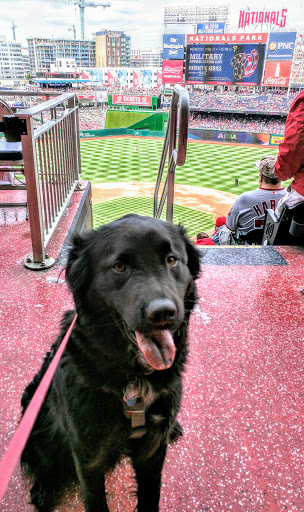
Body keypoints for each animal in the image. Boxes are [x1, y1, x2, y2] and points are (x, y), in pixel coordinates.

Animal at [21, 214, 202, 512]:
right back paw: (44, 489)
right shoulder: (87, 455)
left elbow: (151, 496)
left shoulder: (153, 450)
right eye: (119, 267)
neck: (133, 380)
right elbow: (95, 500)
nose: (164, 313)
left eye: (171, 260)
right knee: (41, 459)